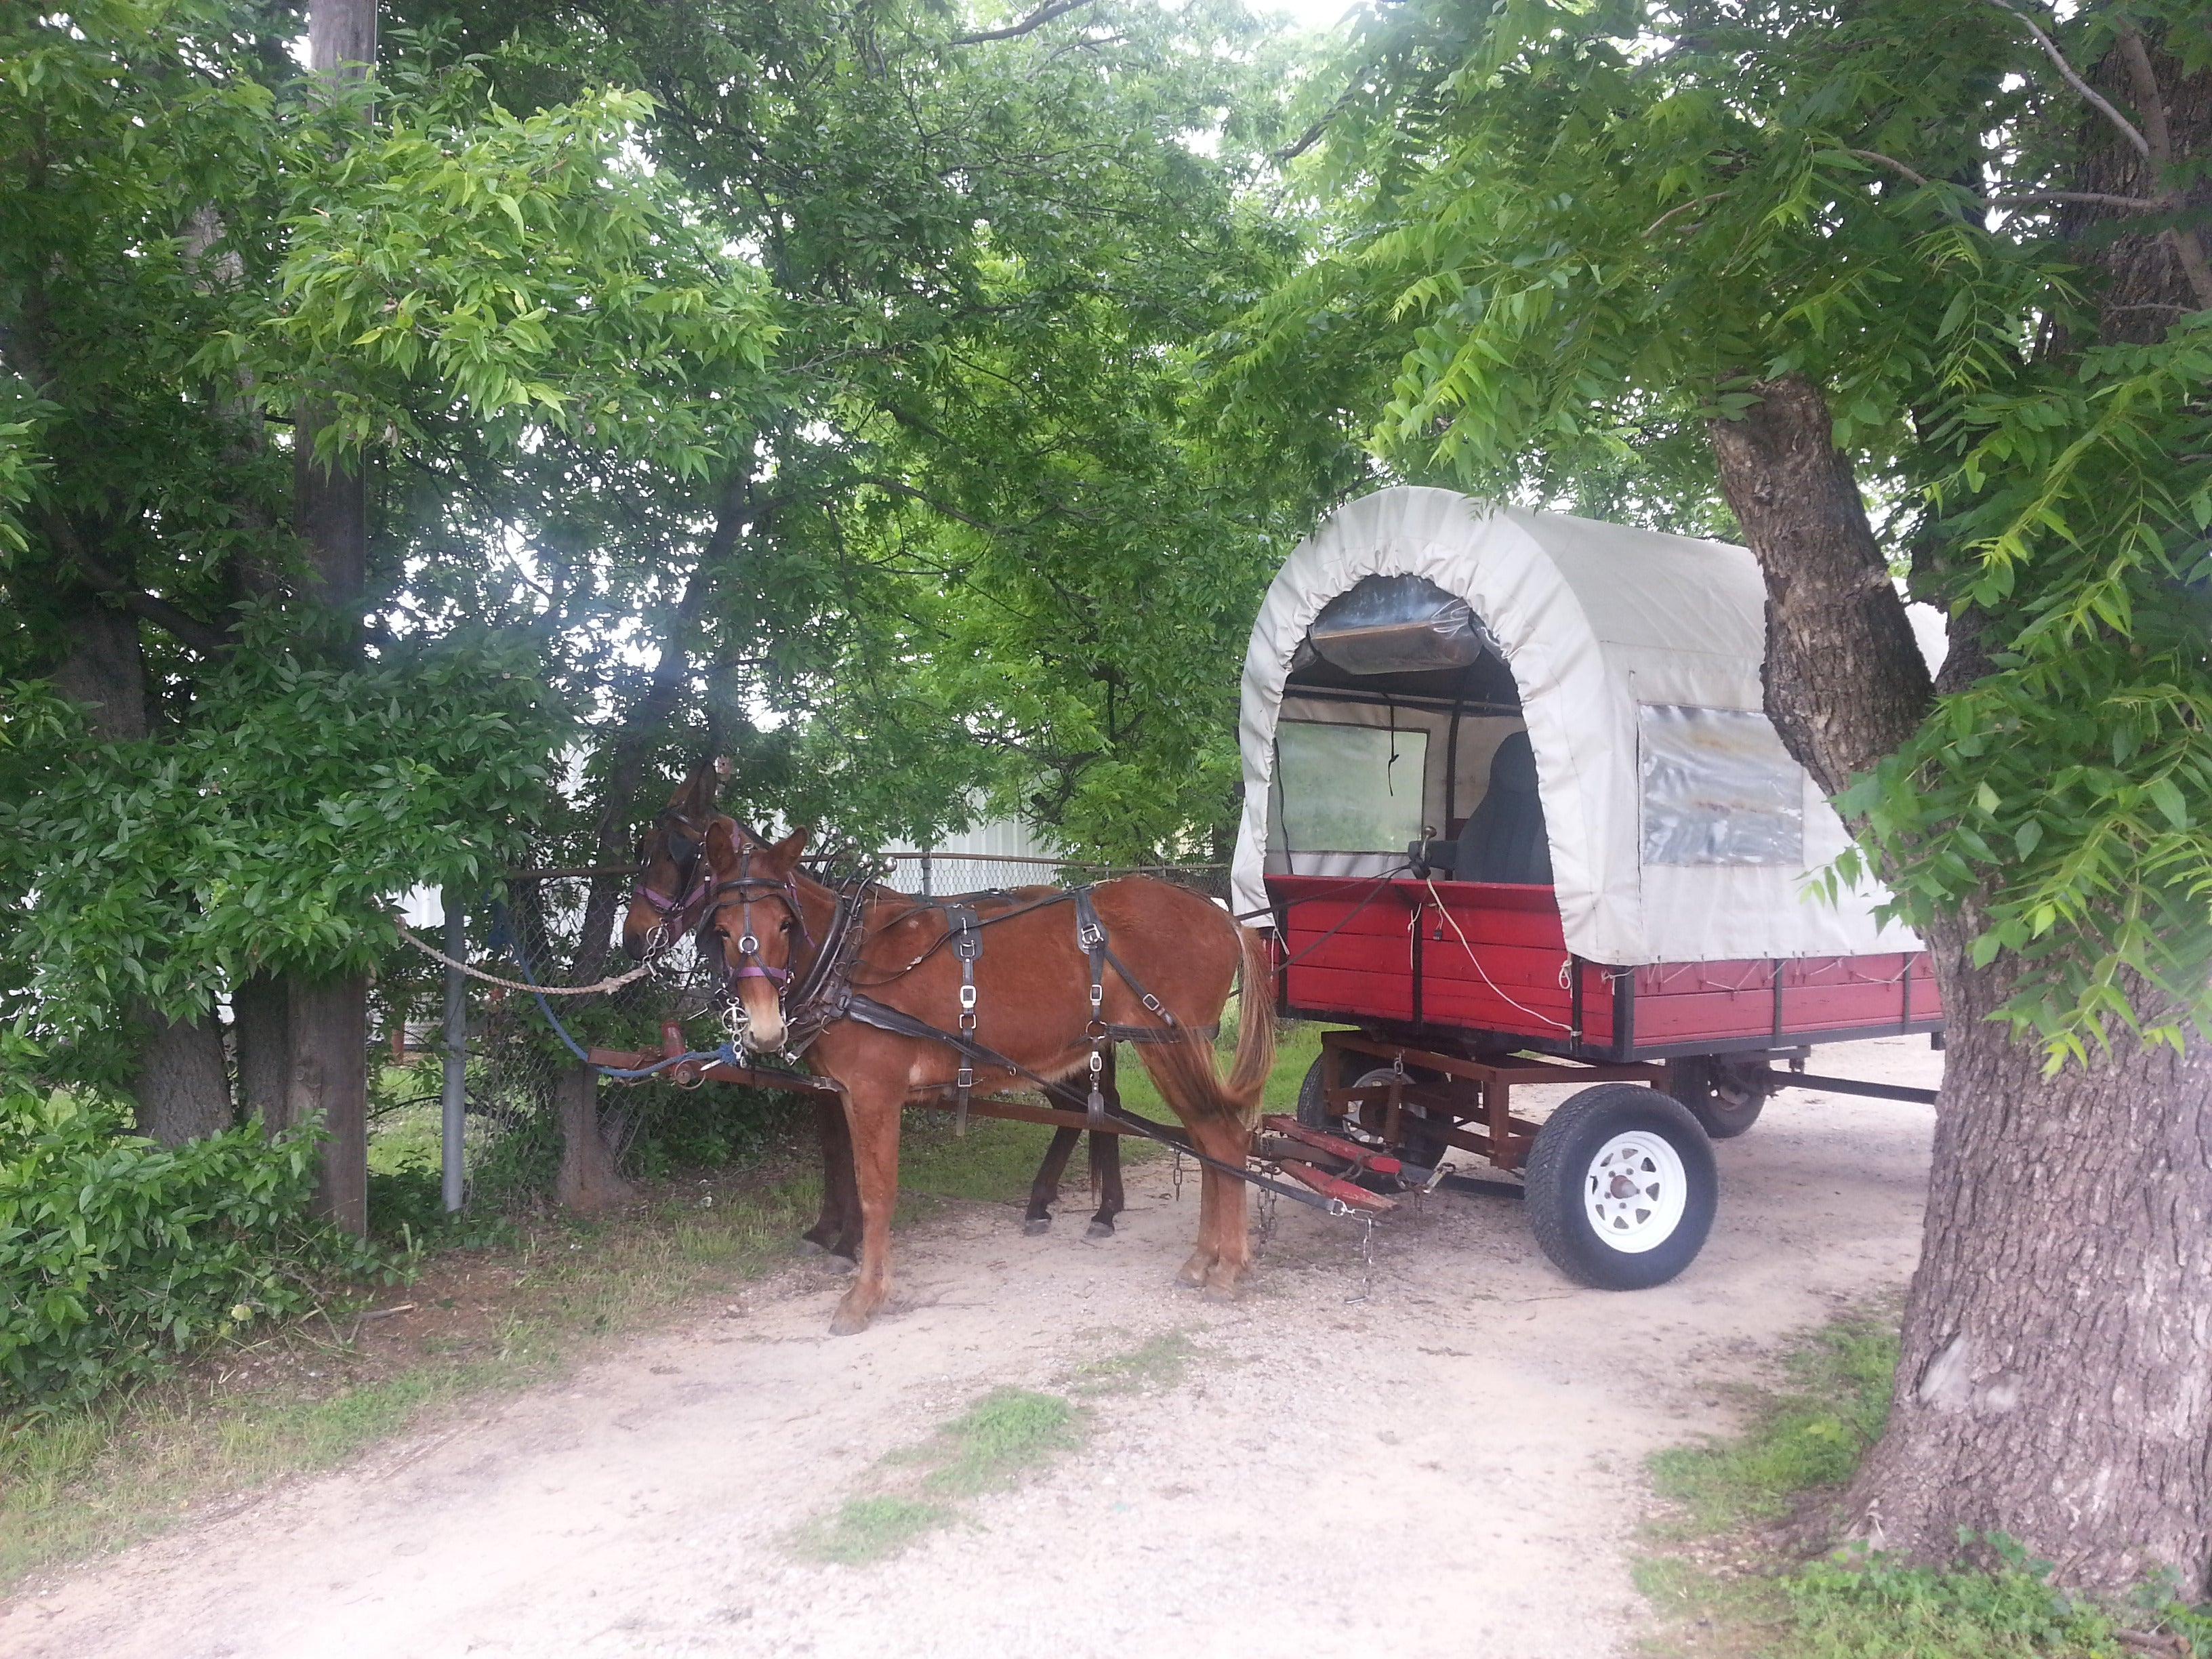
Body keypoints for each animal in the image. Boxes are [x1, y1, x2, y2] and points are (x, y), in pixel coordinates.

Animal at [618, 762, 1128, 1254]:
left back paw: (1101, 1211)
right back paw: (1055, 1204)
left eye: (671, 852)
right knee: (1083, 1110)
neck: (836, 949)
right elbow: (836, 1148)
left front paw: (847, 1241)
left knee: (1096, 1108)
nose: (633, 938)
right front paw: (827, 1231)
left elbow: (853, 1156)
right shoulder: (828, 1077)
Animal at [698, 815, 1273, 1334]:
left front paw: (864, 1297)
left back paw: (1225, 1266)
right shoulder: (844, 1094)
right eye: (722, 930)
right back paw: (1202, 1259)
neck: (849, 957)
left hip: (1173, 1046)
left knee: (1222, 1137)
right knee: (1207, 1139)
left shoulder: (873, 1094)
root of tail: (1222, 916)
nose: (764, 1028)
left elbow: (876, 1193)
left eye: (785, 924)